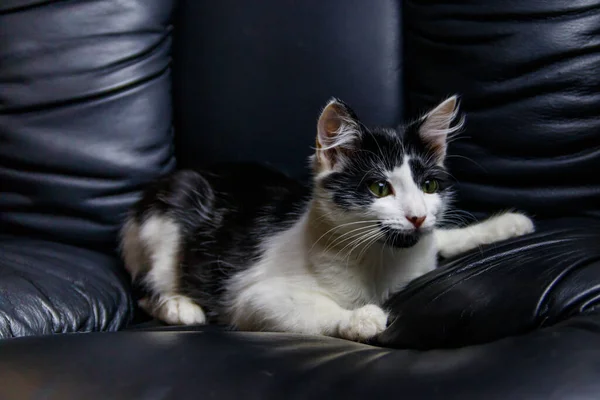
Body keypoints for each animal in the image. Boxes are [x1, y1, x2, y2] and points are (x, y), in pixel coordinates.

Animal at [119, 95, 532, 342]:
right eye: (379, 188)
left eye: (428, 185)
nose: (416, 217)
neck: (381, 257)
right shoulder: (249, 296)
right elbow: (304, 310)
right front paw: (358, 319)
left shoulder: (423, 243)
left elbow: (440, 237)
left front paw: (502, 225)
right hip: (169, 217)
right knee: (146, 289)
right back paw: (180, 306)